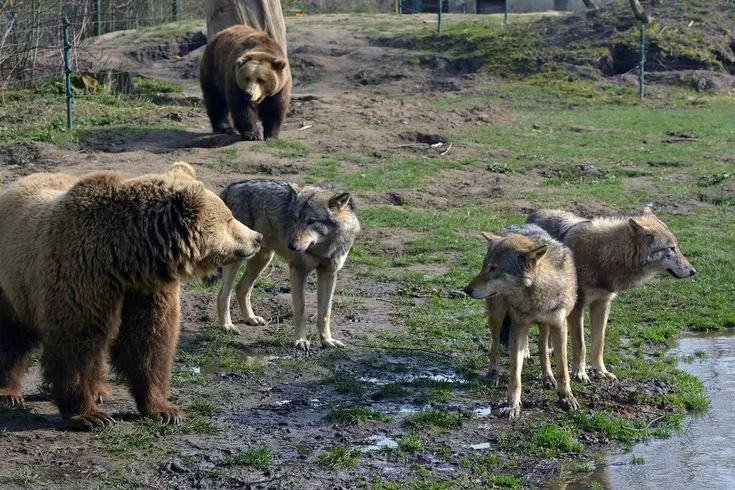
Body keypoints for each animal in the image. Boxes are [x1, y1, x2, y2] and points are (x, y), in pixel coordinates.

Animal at [0, 162, 262, 430]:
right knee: (12, 337)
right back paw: (9, 392)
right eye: (229, 218)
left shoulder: (146, 291)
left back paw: (99, 390)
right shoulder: (80, 274)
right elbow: (76, 343)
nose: (257, 238)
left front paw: (164, 410)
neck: (124, 260)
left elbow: (148, 342)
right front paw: (89, 415)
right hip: (12, 284)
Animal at [216, 179, 360, 351]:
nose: (291, 245)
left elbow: (325, 313)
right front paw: (301, 340)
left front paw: (327, 341)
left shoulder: (329, 273)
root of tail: (231, 186)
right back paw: (227, 326)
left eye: (311, 221)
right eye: (295, 220)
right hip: (238, 260)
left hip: (263, 259)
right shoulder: (298, 271)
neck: (323, 248)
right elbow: (301, 310)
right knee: (223, 294)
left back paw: (250, 318)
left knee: (241, 288)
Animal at [464, 224, 579, 418]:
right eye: (484, 267)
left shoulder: (558, 324)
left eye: (494, 268)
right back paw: (493, 375)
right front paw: (512, 405)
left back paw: (547, 376)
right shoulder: (518, 324)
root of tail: (511, 227)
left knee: (542, 347)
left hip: (544, 325)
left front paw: (566, 397)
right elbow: (514, 374)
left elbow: (562, 369)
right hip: (497, 316)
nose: (466, 289)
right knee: (495, 346)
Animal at [528, 207, 696, 382]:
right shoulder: (577, 307)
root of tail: (535, 212)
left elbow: (598, 343)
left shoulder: (602, 304)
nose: (693, 271)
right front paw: (580, 373)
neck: (603, 255)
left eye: (677, 247)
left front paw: (601, 371)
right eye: (671, 248)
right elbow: (581, 344)